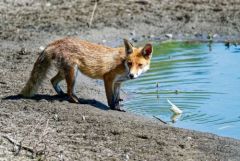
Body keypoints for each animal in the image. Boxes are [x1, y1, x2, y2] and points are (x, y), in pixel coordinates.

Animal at [20, 37, 152, 111]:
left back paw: (61, 94)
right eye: (130, 63)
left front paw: (118, 108)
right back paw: (79, 101)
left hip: (65, 72)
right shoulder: (108, 78)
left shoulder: (118, 83)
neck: (122, 63)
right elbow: (110, 99)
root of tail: (56, 41)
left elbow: (116, 99)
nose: (131, 75)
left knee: (53, 80)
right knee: (70, 92)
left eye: (139, 65)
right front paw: (112, 109)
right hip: (73, 72)